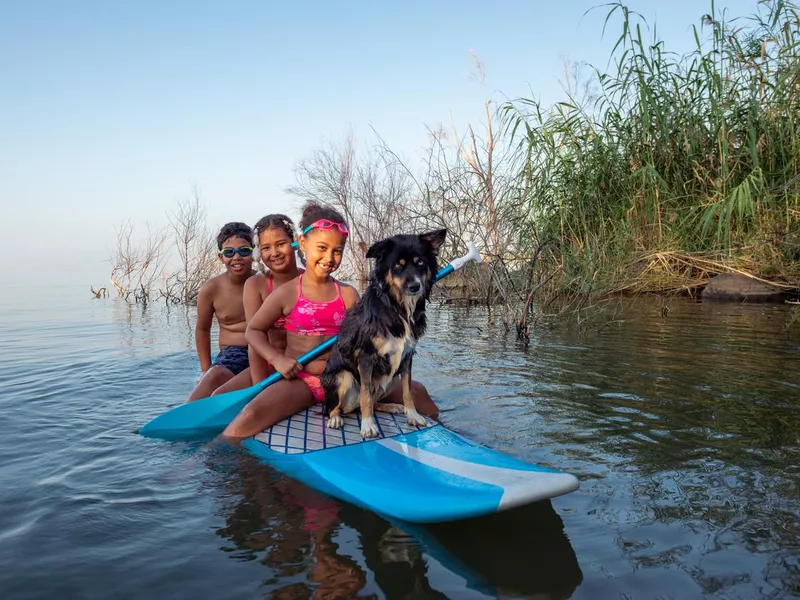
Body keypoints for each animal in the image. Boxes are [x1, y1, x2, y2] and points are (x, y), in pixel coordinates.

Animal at [320, 227, 446, 438]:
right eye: (398, 265)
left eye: (420, 262)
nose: (415, 286)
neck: (398, 308)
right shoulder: (366, 356)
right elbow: (365, 396)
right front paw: (368, 425)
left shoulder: (407, 355)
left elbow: (407, 390)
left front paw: (413, 415)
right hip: (343, 377)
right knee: (335, 407)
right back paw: (335, 418)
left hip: (390, 376)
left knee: (370, 401)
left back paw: (391, 406)